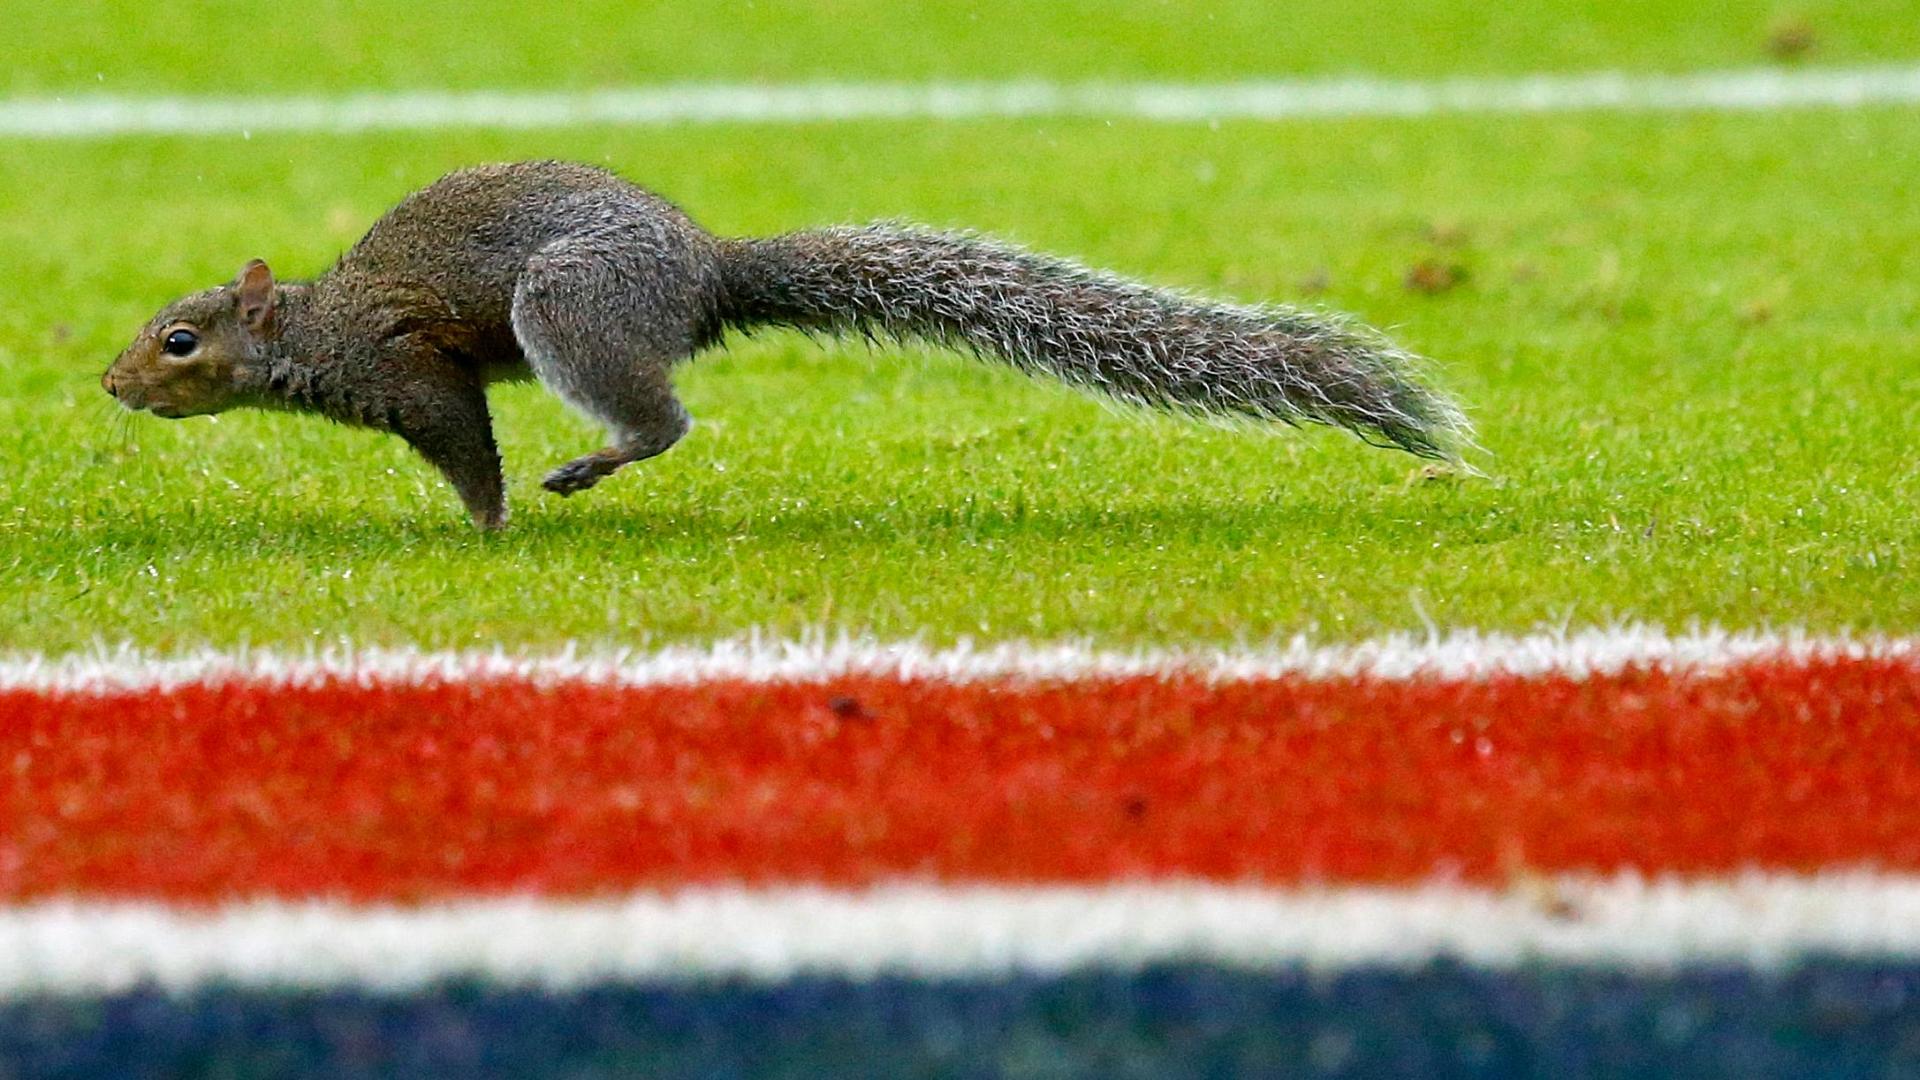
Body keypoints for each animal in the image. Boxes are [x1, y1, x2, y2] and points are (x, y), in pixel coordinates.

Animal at [105, 160, 1466, 530]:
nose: (112, 384)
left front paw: (485, 529)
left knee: (662, 418)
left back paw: (595, 462)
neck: (312, 327)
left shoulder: (413, 372)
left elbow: (467, 448)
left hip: (570, 308)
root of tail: (708, 272)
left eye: (180, 340)